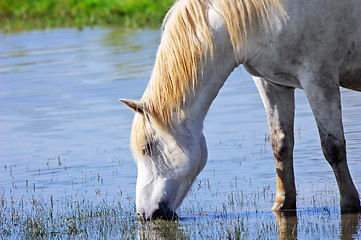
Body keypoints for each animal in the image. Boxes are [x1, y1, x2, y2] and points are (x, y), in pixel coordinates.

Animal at [121, 0, 360, 221]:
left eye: (148, 148)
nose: (145, 213)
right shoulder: (272, 83)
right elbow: (281, 146)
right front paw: (282, 205)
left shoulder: (319, 78)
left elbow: (333, 147)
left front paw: (350, 205)